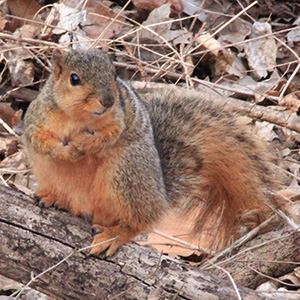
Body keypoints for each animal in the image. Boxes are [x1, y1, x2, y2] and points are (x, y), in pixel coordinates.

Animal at [23, 48, 276, 255]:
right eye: (74, 79)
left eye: (114, 75)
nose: (108, 100)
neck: (79, 118)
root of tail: (160, 196)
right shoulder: (37, 118)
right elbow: (37, 139)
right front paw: (64, 152)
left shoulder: (119, 119)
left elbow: (109, 136)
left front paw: (83, 145)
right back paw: (53, 197)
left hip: (126, 173)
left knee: (137, 222)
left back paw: (115, 235)